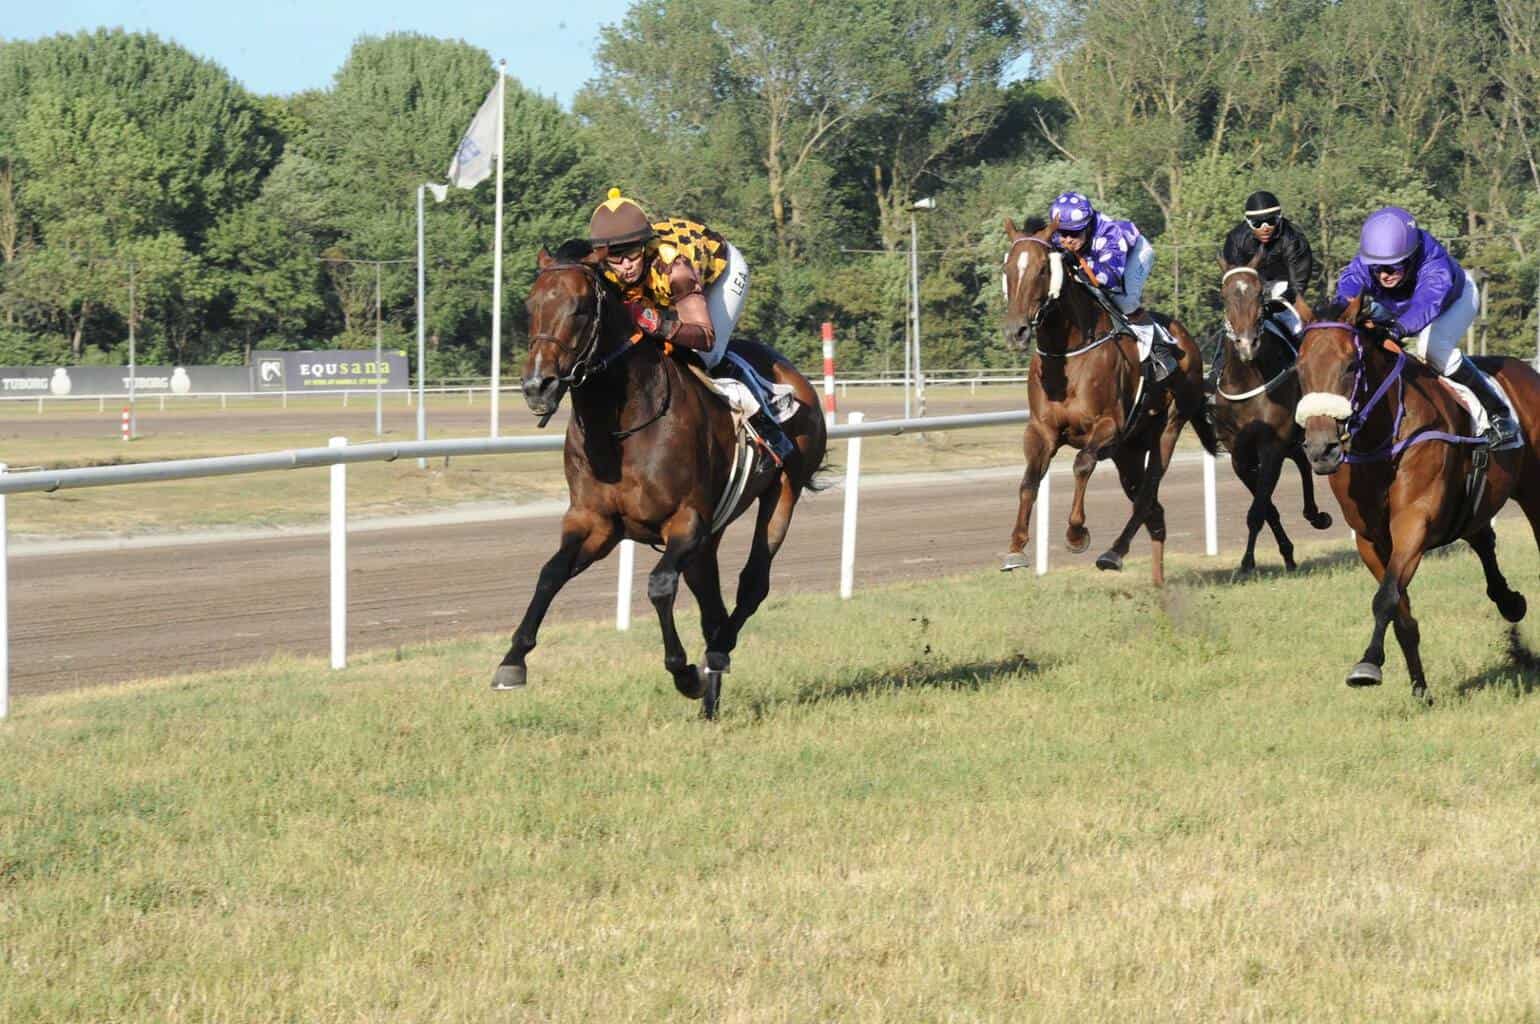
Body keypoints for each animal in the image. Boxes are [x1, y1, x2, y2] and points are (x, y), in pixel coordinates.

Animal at [997, 215, 1213, 582]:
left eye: (1042, 269)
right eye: (1008, 267)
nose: (1017, 332)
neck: (1067, 355)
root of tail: (1187, 340)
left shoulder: (1109, 424)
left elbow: (1081, 463)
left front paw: (1076, 534)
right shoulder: (1041, 430)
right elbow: (1029, 481)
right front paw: (1015, 548)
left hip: (1167, 428)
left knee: (1146, 496)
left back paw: (1113, 553)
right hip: (1129, 451)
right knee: (1154, 512)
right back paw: (1156, 581)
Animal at [1213, 254, 1336, 575]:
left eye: (1259, 294)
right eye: (1225, 295)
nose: (1246, 344)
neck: (1246, 379)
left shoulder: (1271, 447)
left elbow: (1258, 510)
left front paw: (1246, 562)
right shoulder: (1239, 454)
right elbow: (1267, 507)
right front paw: (1286, 553)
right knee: (1303, 462)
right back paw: (1313, 515)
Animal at [1293, 291, 1540, 699]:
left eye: (1350, 366)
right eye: (1300, 368)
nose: (1320, 449)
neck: (1383, 437)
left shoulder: (1414, 521)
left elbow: (1386, 598)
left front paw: (1367, 665)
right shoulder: (1370, 538)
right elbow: (1399, 612)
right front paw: (1420, 689)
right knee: (1482, 539)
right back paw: (1510, 603)